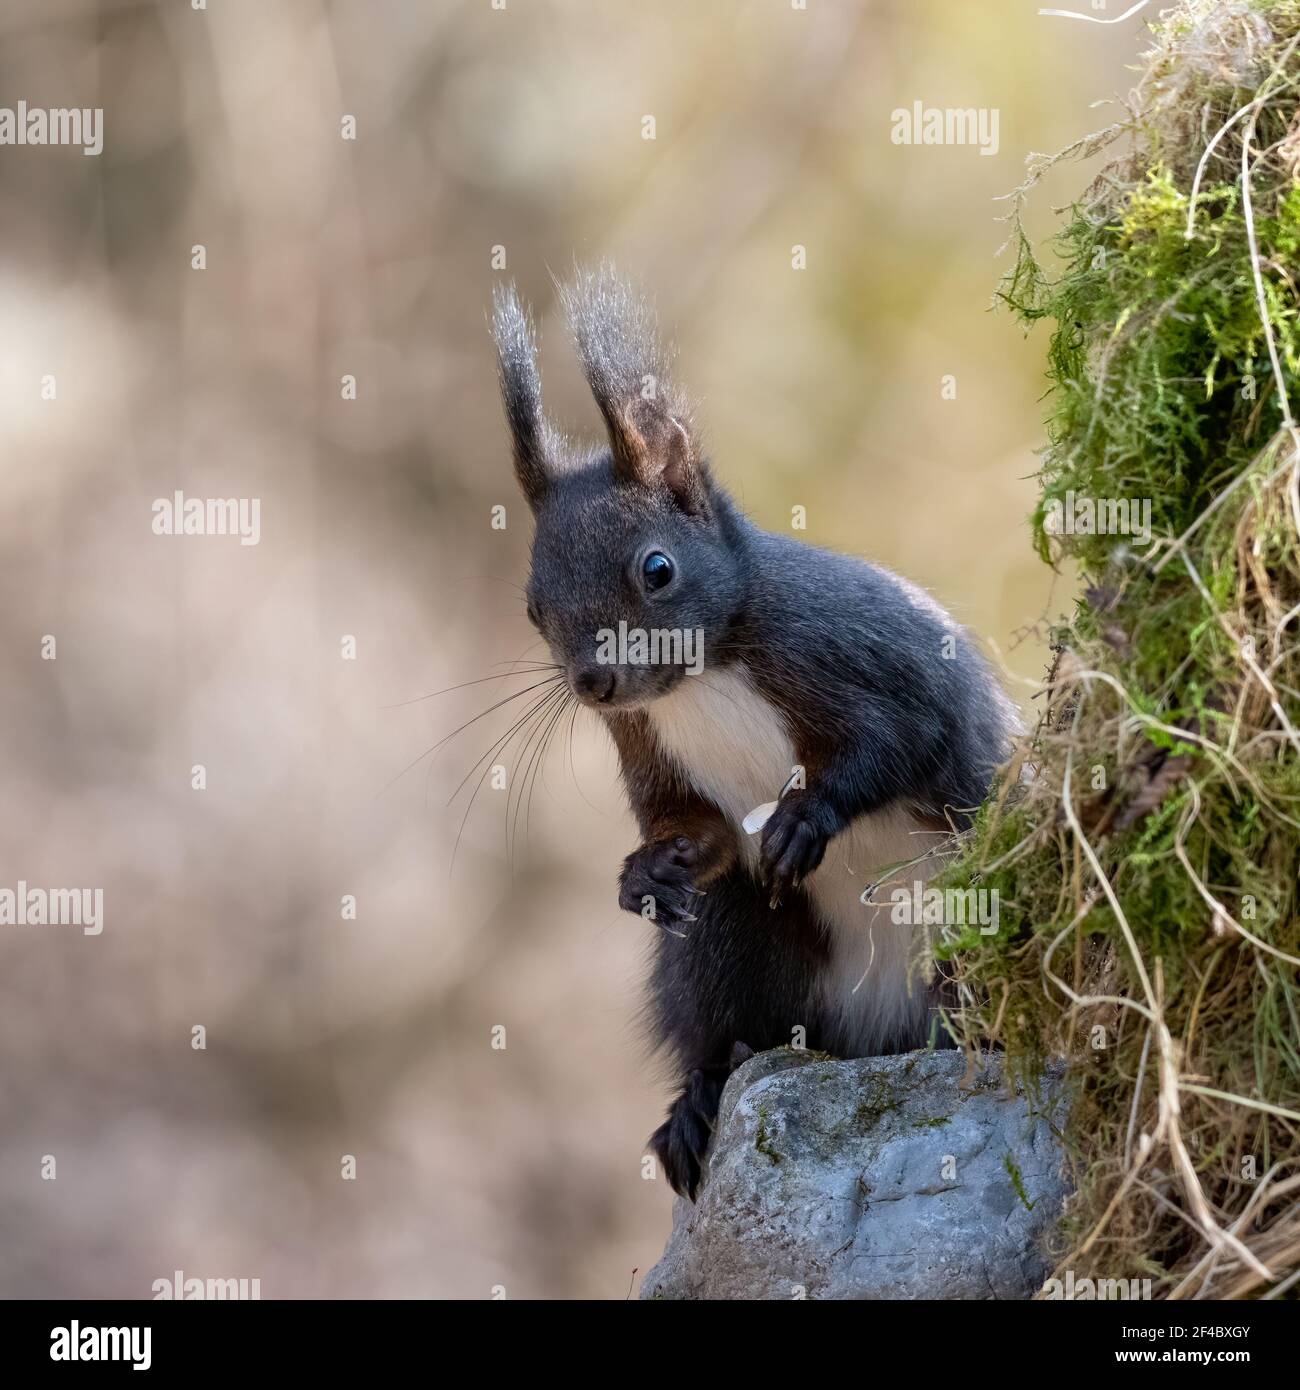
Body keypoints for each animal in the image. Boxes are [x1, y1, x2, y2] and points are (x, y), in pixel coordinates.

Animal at [489, 265, 1017, 1200]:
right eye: (532, 608)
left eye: (657, 568)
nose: (593, 684)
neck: (704, 677)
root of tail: (872, 1036)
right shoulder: (643, 743)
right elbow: (691, 828)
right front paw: (644, 872)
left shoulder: (866, 659)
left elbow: (896, 743)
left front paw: (807, 818)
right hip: (734, 945)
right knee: (724, 1019)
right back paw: (694, 1107)